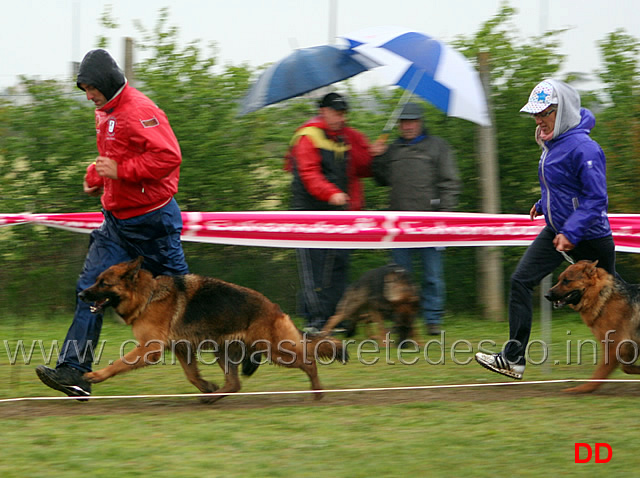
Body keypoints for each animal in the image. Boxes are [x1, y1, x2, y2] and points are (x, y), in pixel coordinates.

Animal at [80, 258, 350, 404]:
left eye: (103, 283)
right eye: (97, 280)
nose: (81, 294)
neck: (147, 296)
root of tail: (275, 308)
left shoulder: (149, 349)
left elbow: (119, 363)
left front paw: (97, 375)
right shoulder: (181, 348)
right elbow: (192, 375)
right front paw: (207, 386)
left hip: (276, 351)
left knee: (309, 361)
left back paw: (317, 393)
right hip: (224, 351)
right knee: (234, 383)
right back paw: (212, 397)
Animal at [544, 262, 640, 392]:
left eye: (566, 281)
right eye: (559, 280)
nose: (546, 295)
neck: (602, 297)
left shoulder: (614, 347)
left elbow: (598, 374)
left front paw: (582, 389)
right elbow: (626, 368)